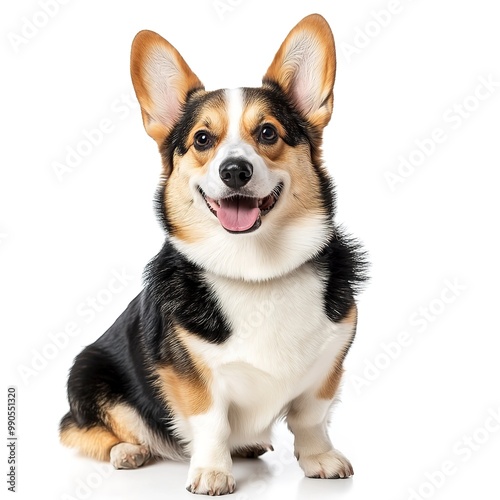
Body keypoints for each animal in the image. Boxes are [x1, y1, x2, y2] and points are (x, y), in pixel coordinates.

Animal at [59, 13, 368, 494]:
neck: (257, 271)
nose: (234, 170)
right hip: (88, 372)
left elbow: (311, 417)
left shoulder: (328, 366)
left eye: (267, 132)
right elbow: (212, 423)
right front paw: (212, 472)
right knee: (87, 429)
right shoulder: (189, 377)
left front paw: (320, 458)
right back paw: (128, 451)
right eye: (203, 139)